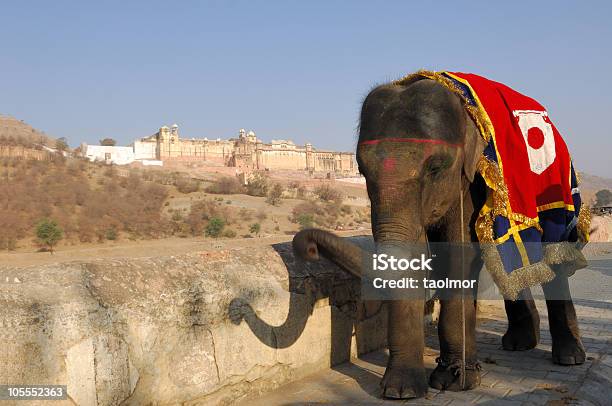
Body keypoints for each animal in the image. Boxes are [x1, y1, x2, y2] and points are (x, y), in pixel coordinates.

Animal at [292, 78, 588, 400]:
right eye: (361, 170)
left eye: (435, 168)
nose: (307, 247)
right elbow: (417, 256)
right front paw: (402, 391)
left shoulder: (469, 181)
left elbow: (458, 257)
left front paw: (454, 381)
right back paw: (519, 343)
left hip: (555, 196)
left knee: (553, 259)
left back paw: (570, 357)